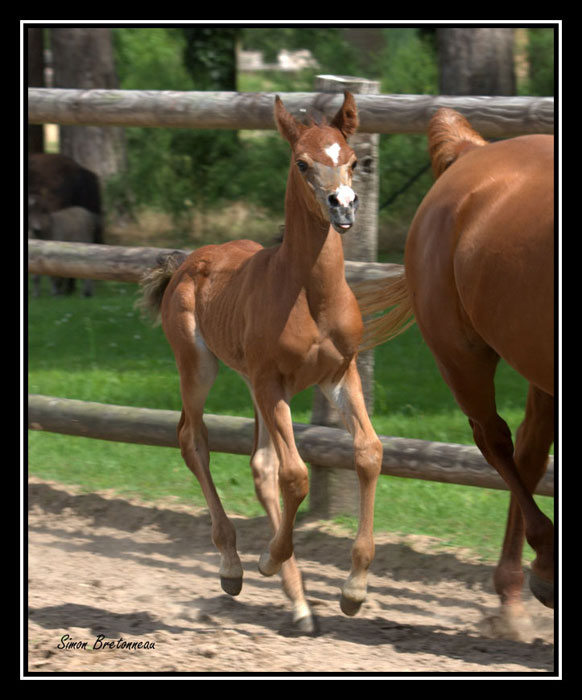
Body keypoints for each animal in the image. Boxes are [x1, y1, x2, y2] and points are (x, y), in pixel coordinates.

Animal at [140, 90, 388, 632]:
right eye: (302, 163)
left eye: (352, 159)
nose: (343, 205)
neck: (310, 294)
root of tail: (186, 264)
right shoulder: (272, 381)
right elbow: (296, 475)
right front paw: (268, 558)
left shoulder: (341, 374)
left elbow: (368, 452)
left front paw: (354, 589)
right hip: (200, 367)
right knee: (194, 440)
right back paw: (234, 565)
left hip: (255, 384)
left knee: (260, 464)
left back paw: (299, 604)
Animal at [356, 108, 556, 636]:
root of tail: (472, 152)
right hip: (462, 355)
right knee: (498, 442)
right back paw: (541, 570)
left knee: (529, 452)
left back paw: (517, 592)